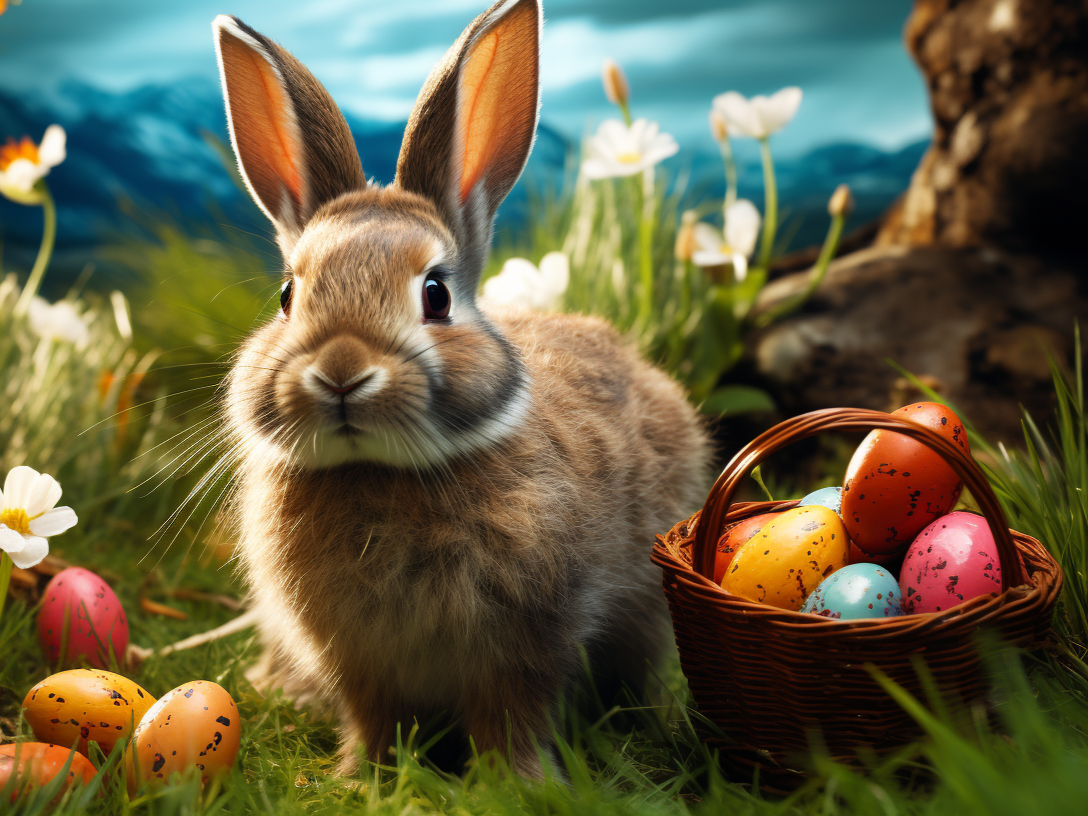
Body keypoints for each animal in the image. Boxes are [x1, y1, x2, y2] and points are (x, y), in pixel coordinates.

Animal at [212, 0, 710, 780]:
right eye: (288, 296)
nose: (341, 371)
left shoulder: (528, 641)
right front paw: (359, 779)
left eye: (436, 295)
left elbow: (515, 712)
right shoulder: (358, 661)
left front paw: (520, 782)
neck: (378, 474)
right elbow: (373, 717)